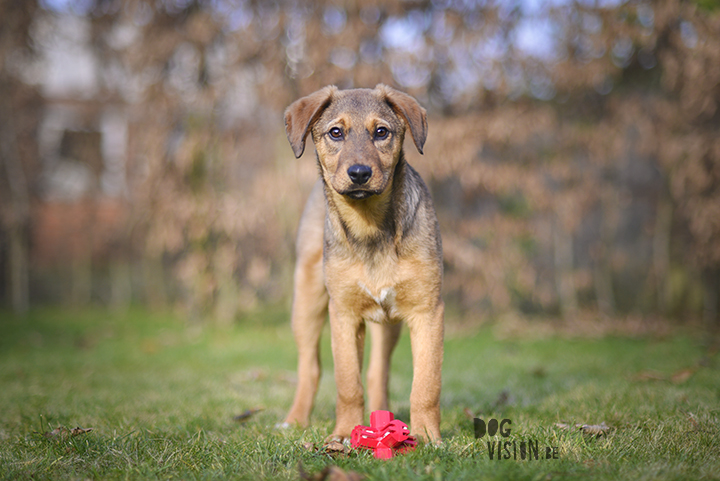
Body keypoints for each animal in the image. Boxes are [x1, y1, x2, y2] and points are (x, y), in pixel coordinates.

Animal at [282, 84, 442, 440]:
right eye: (335, 132)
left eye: (381, 132)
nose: (359, 174)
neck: (370, 228)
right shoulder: (343, 314)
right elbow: (347, 384)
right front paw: (343, 434)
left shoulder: (426, 310)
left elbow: (426, 383)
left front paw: (427, 436)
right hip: (307, 301)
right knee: (310, 367)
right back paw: (295, 419)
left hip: (390, 323)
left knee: (378, 372)